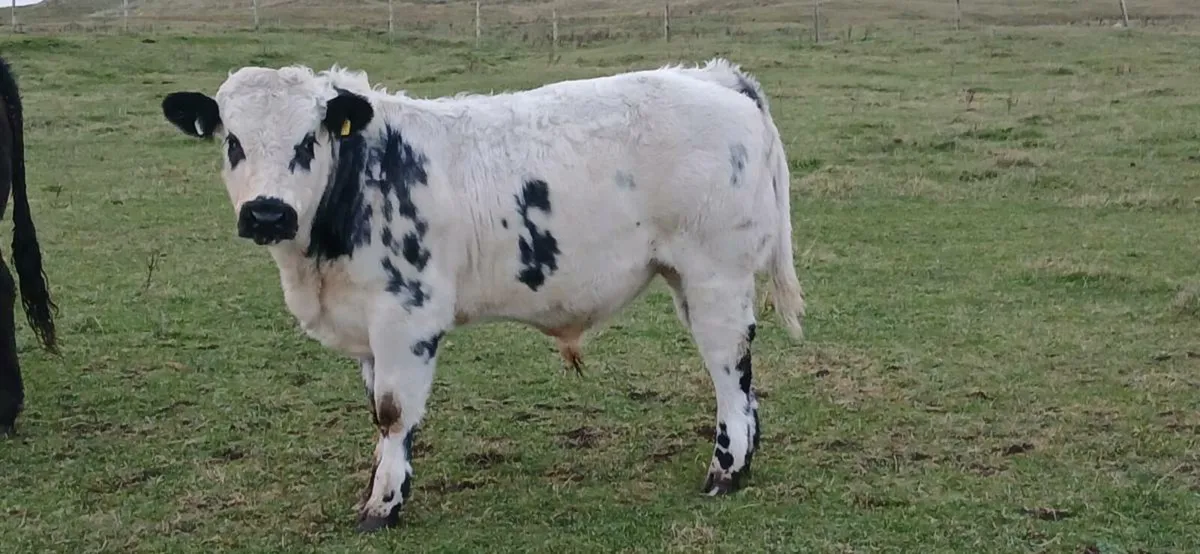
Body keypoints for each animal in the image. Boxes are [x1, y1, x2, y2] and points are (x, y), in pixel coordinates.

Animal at [159, 58, 806, 532]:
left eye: (306, 140)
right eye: (233, 141)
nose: (267, 212)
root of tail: (712, 76)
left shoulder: (407, 316)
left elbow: (393, 412)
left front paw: (383, 507)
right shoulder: (368, 331)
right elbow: (377, 415)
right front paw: (382, 482)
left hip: (716, 273)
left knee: (728, 365)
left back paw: (726, 471)